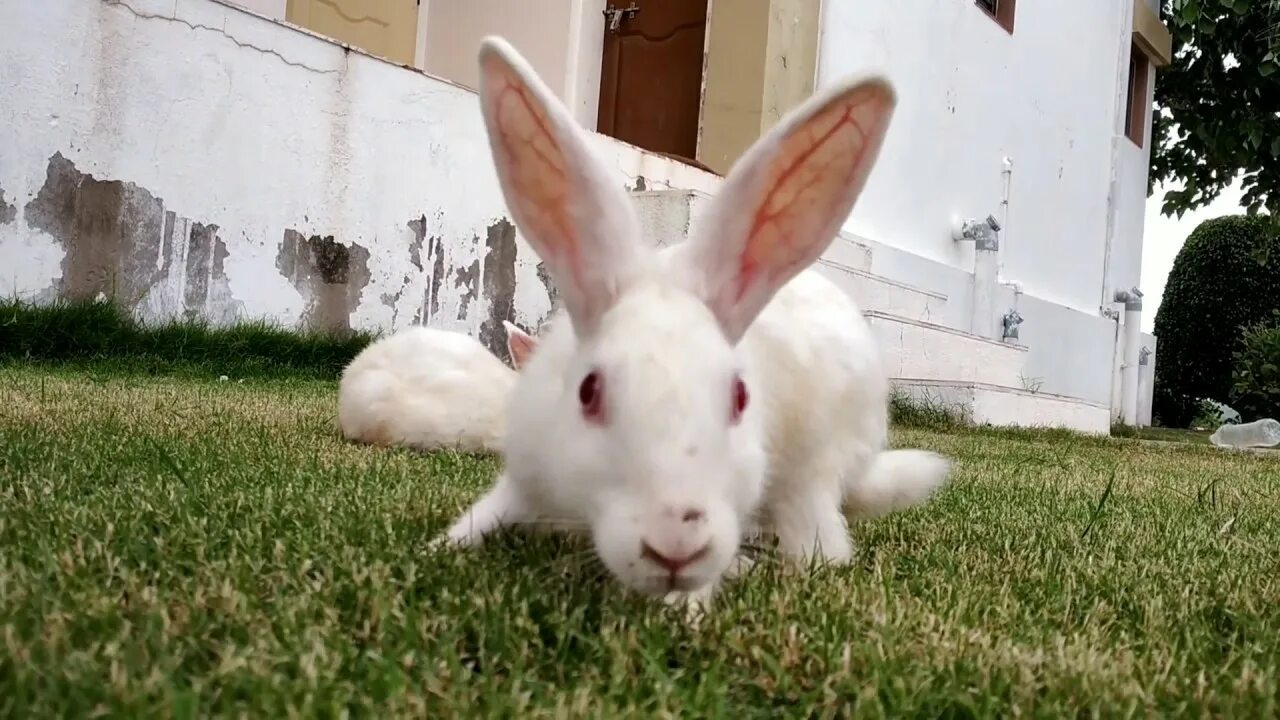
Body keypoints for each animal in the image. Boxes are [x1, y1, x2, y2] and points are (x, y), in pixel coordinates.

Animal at [440, 35, 952, 604]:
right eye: (587, 392)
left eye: (740, 397)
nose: (675, 542)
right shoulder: (523, 474)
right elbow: (485, 513)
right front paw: (444, 546)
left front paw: (691, 602)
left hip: (815, 469)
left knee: (821, 542)